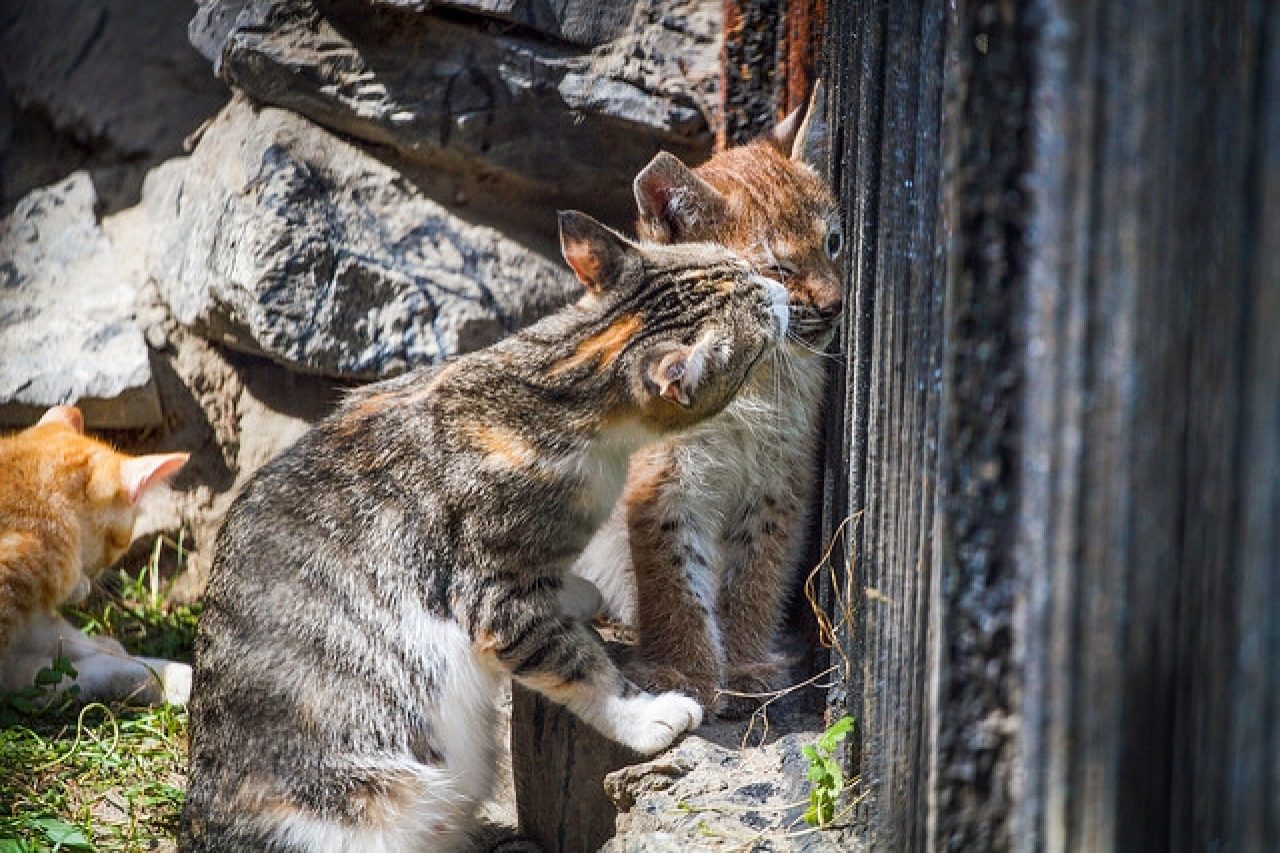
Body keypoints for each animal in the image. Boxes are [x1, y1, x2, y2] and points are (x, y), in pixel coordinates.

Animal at [175, 211, 783, 850]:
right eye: (759, 321)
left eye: (738, 265)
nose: (779, 289)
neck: (556, 384)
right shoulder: (494, 595)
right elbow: (578, 665)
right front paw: (647, 715)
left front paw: (573, 590)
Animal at [570, 84, 839, 712]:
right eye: (777, 271)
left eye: (834, 242)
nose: (837, 305)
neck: (753, 380)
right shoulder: (664, 480)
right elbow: (674, 580)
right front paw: (686, 673)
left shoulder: (780, 478)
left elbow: (757, 570)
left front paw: (742, 662)